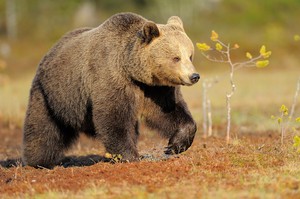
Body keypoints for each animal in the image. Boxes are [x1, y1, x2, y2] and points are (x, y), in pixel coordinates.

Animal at [22, 12, 200, 168]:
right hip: (52, 94)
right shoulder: (111, 76)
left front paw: (175, 145)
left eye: (190, 55)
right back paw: (39, 162)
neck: (132, 71)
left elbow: (168, 111)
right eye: (176, 58)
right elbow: (114, 117)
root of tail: (50, 51)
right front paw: (131, 156)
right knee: (43, 129)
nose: (194, 76)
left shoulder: (155, 89)